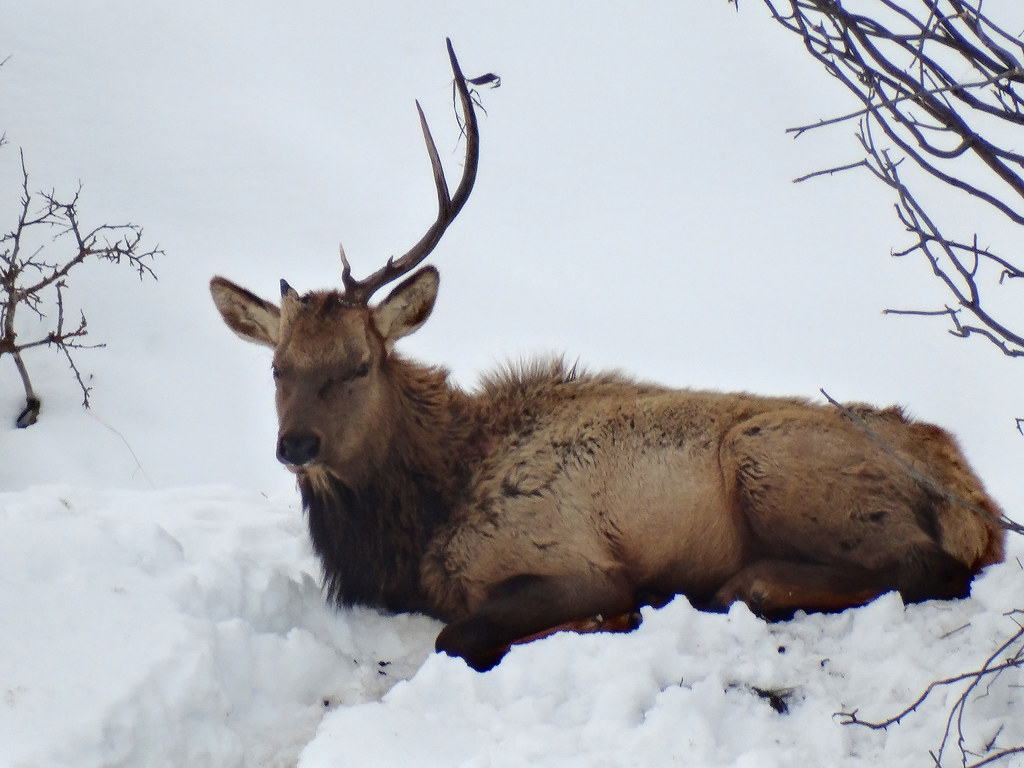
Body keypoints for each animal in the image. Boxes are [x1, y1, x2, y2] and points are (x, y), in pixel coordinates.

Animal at [210, 40, 1006, 671]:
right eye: (278, 368)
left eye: (359, 364)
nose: (295, 444)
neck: (423, 516)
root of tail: (980, 505)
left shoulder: (566, 556)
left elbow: (463, 635)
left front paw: (617, 616)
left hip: (771, 461)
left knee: (920, 563)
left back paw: (738, 585)